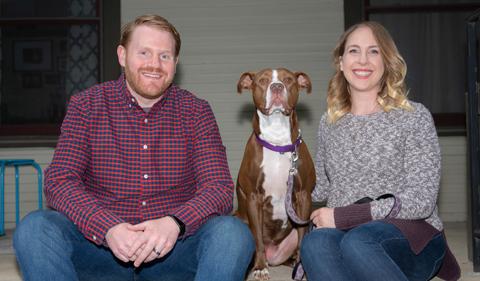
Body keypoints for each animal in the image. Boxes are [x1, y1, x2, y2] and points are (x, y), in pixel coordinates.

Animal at [235, 68, 316, 280]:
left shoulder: (303, 196)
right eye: (262, 81)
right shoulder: (254, 198)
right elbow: (258, 239)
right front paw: (260, 268)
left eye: (288, 79)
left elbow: (302, 237)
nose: (277, 86)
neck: (278, 143)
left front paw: (302, 268)